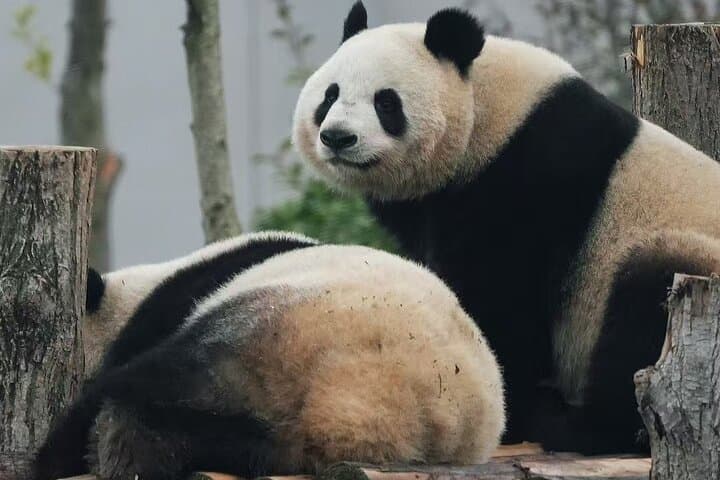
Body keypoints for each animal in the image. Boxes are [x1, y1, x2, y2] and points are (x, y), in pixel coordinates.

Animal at [292, 1, 720, 455]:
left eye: (386, 103)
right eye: (330, 95)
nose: (338, 137)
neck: (489, 116)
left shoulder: (525, 180)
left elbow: (501, 298)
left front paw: (503, 406)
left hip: (683, 254)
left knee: (641, 312)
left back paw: (569, 424)